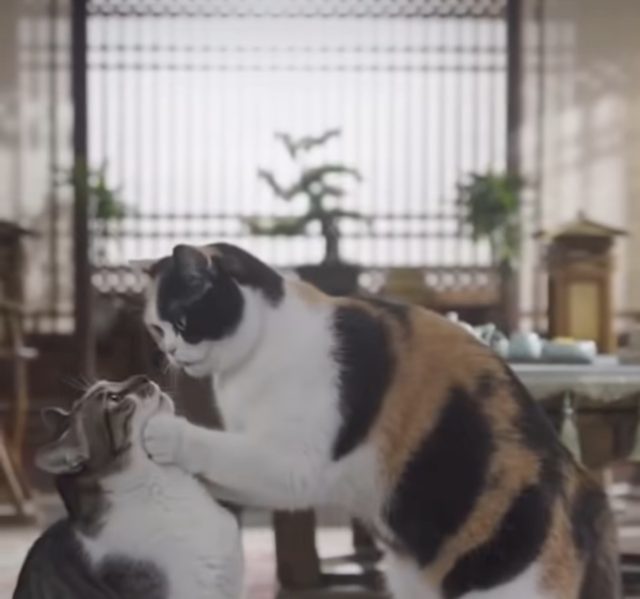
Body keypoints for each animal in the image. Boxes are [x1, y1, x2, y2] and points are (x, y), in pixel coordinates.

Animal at [142, 242, 620, 599]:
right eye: (156, 330)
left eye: (182, 321)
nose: (170, 354)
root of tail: (582, 485)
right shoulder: (263, 467)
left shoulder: (292, 462)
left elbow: (217, 447)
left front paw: (165, 433)